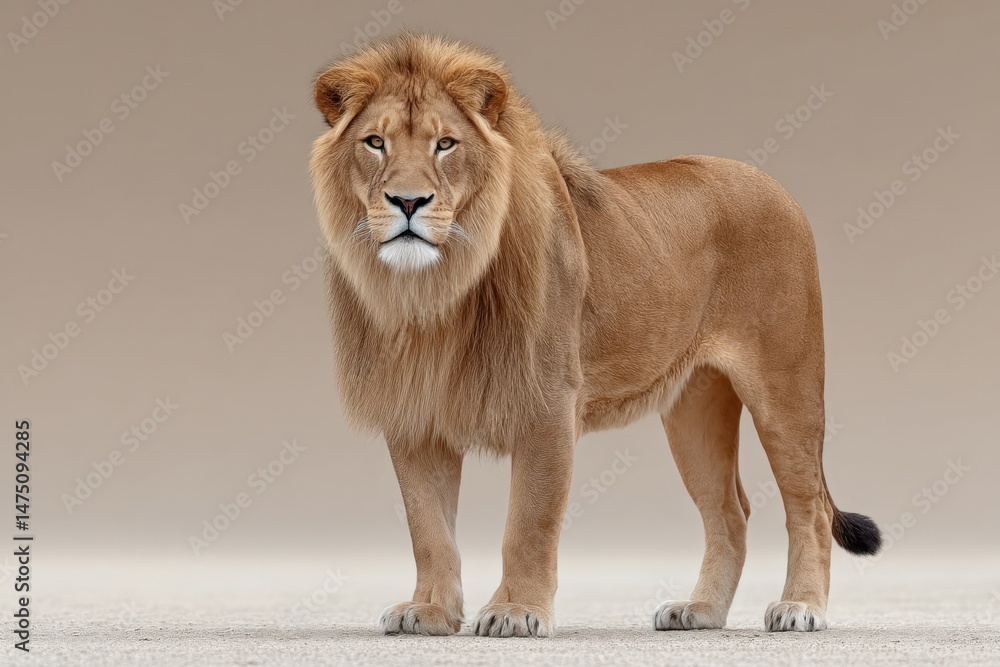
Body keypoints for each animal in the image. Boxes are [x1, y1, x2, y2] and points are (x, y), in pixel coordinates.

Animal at [309, 33, 881, 638]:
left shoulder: (547, 405)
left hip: (786, 390)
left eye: (446, 144)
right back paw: (700, 610)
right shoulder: (416, 415)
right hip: (694, 410)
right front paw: (430, 612)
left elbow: (528, 522)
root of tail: (773, 183)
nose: (408, 202)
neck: (436, 290)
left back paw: (800, 607)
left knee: (808, 507)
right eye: (375, 143)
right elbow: (428, 528)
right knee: (731, 512)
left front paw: (516, 612)